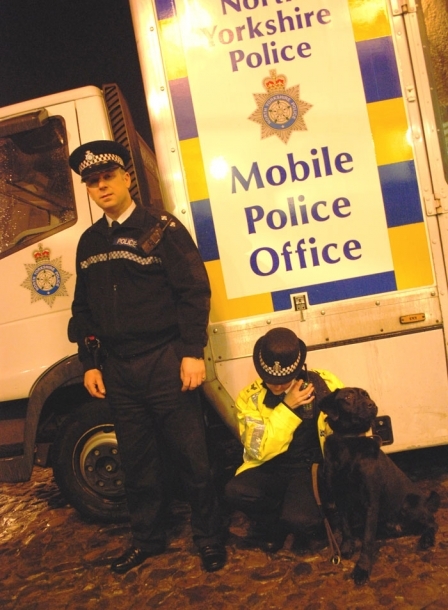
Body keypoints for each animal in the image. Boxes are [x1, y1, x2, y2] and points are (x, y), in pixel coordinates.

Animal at [320, 388, 440, 580]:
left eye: (366, 395)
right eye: (348, 396)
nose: (372, 404)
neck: (349, 442)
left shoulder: (371, 501)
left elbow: (368, 539)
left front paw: (362, 569)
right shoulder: (340, 498)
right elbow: (345, 527)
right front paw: (346, 547)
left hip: (409, 504)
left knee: (432, 522)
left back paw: (426, 539)